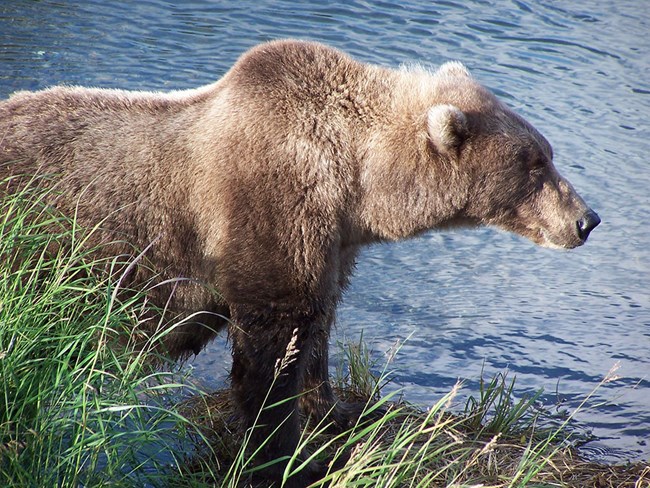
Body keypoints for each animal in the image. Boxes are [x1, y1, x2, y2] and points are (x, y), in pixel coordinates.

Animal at [0, 40, 596, 486]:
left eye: (547, 152)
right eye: (535, 162)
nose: (586, 219)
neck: (357, 184)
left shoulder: (334, 243)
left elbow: (317, 326)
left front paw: (334, 410)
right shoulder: (270, 205)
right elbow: (273, 339)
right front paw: (279, 452)